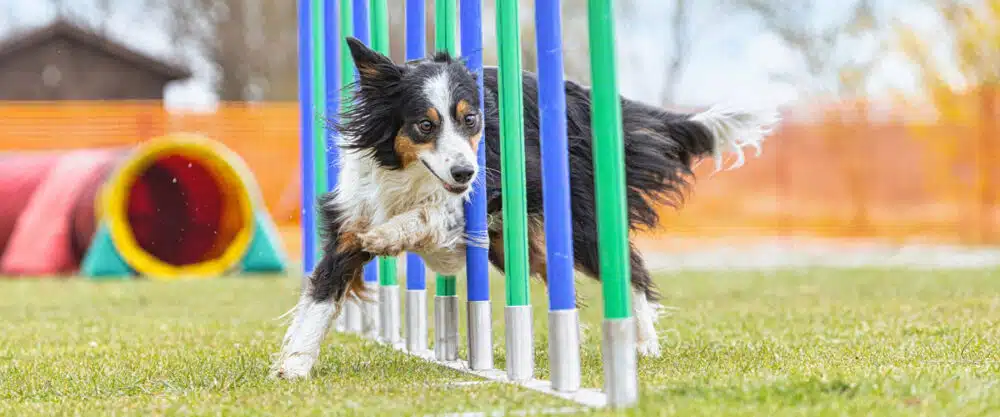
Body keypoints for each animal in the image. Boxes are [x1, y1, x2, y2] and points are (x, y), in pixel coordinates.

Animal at [276, 37, 780, 378]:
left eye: (471, 120)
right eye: (424, 124)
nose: (464, 172)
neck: (409, 174)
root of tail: (581, 95)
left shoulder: (494, 188)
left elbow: (434, 215)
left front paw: (387, 235)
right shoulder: (351, 216)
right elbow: (322, 294)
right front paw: (295, 365)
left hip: (574, 218)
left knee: (631, 269)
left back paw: (642, 343)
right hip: (519, 243)